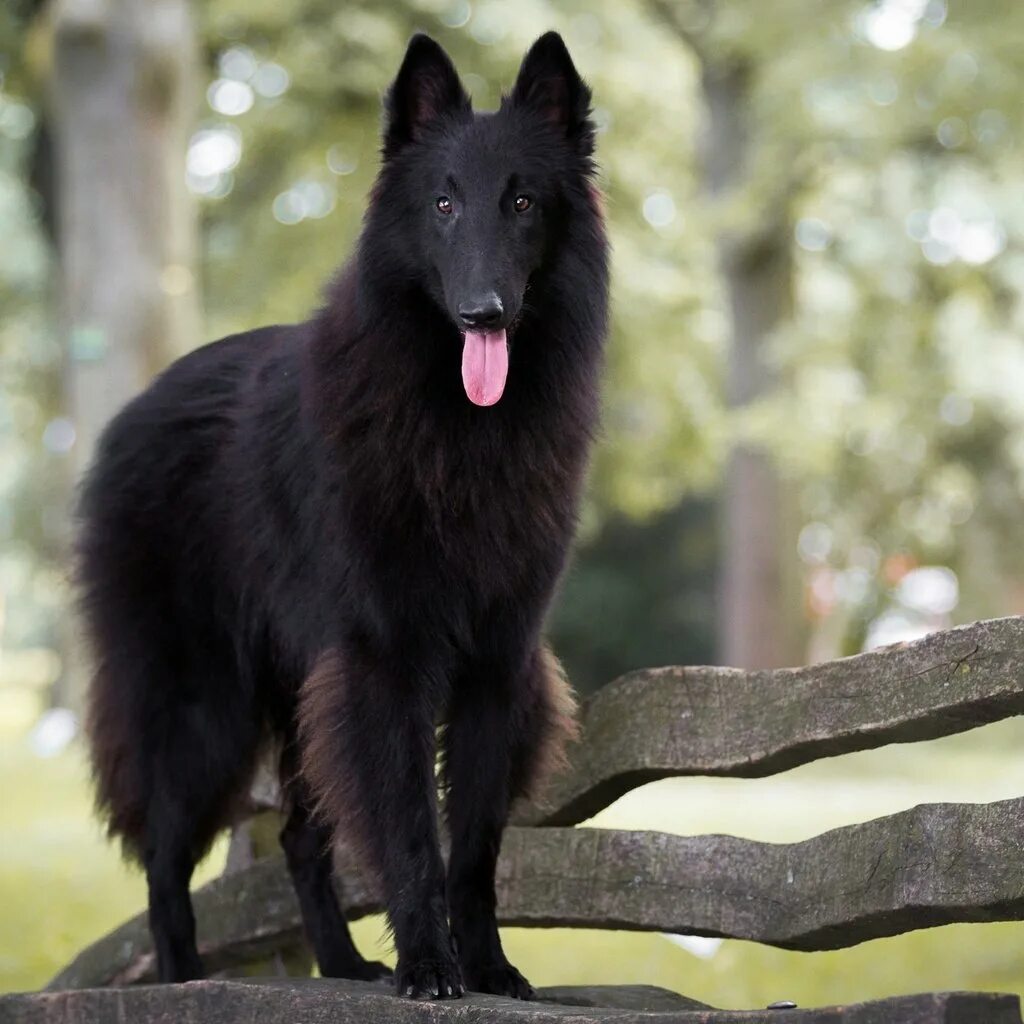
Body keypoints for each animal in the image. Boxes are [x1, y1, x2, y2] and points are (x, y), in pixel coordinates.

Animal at [79, 29, 610, 999]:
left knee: (296, 835)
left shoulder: (496, 664)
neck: (457, 425)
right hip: (203, 704)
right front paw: (430, 966)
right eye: (443, 203)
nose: (484, 312)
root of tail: (141, 402)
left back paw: (340, 964)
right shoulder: (385, 663)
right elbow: (409, 831)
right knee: (164, 855)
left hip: (292, 692)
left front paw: (485, 966)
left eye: (522, 201)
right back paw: (182, 978)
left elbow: (472, 846)